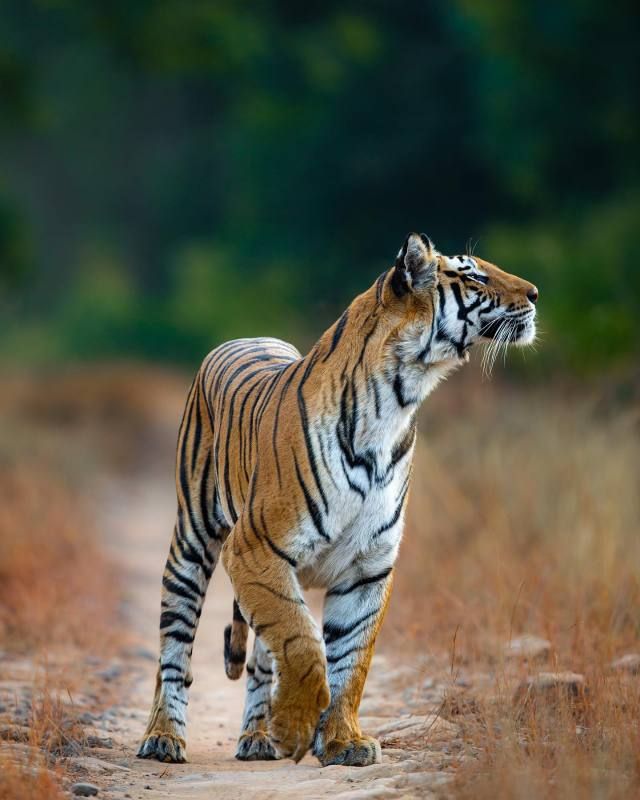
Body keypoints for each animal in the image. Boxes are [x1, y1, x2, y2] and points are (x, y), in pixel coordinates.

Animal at [138, 233, 536, 768]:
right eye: (474, 275)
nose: (535, 294)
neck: (401, 396)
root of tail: (244, 338)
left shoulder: (368, 566)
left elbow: (351, 660)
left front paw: (345, 741)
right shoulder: (254, 547)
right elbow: (303, 643)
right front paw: (295, 727)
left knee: (260, 656)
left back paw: (257, 737)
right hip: (193, 540)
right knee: (175, 646)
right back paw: (164, 737)